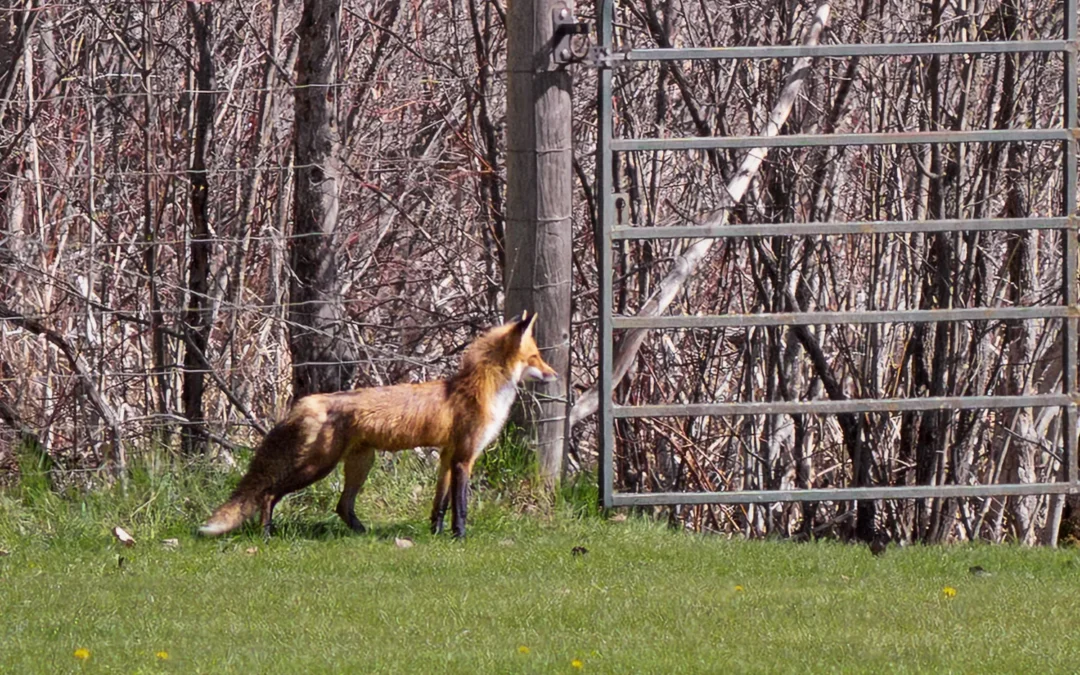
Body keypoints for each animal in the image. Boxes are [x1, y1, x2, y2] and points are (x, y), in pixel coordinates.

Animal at [199, 312, 557, 539]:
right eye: (536, 357)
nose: (555, 375)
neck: (480, 390)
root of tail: (307, 401)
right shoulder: (463, 458)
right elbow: (461, 507)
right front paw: (460, 538)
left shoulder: (445, 457)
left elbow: (439, 505)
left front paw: (437, 535)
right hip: (318, 466)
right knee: (270, 493)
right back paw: (266, 534)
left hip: (360, 464)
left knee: (342, 507)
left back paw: (362, 534)